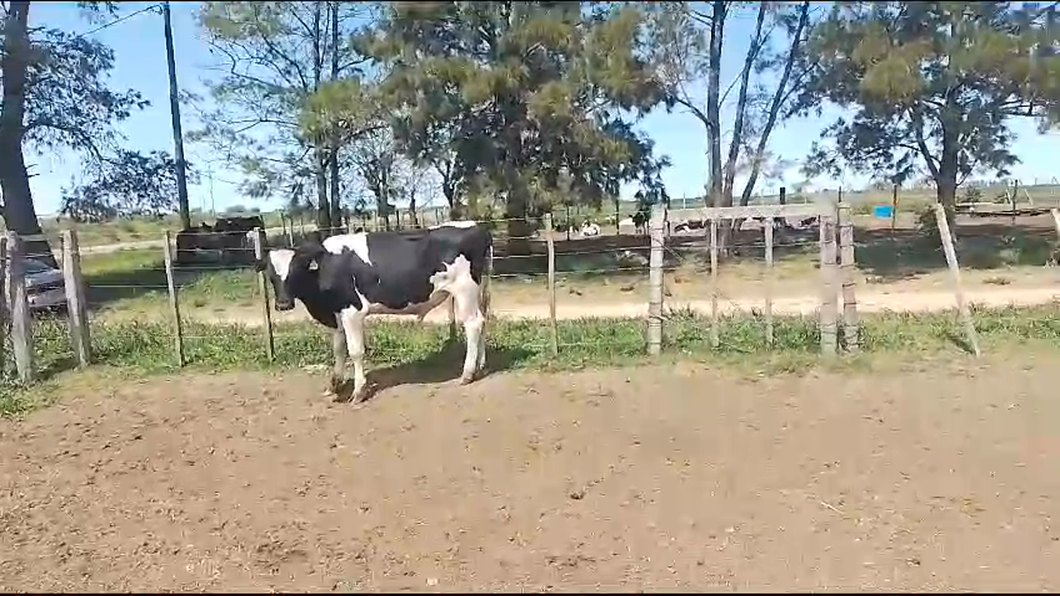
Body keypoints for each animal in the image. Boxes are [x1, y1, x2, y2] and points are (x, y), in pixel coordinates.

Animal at [256, 221, 491, 402]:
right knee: (482, 321)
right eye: (271, 274)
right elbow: (338, 349)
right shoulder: (337, 314)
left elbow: (355, 351)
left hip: (464, 290)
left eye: (295, 270)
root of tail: (477, 227)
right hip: (478, 291)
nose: (283, 304)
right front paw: (334, 385)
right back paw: (480, 366)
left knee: (472, 324)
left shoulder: (352, 311)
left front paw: (358, 391)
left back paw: (467, 374)